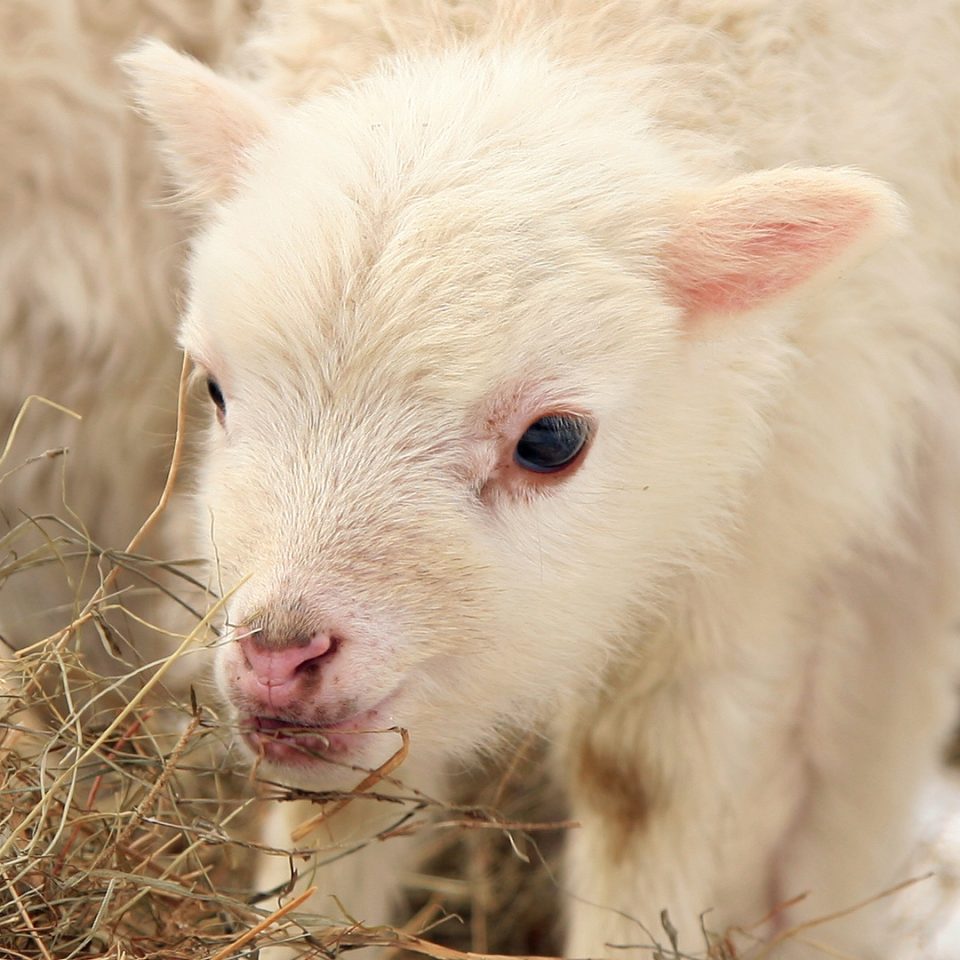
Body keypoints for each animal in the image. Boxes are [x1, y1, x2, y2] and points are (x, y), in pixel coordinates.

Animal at [123, 2, 960, 956]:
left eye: (552, 440)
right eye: (214, 390)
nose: (279, 655)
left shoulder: (756, 529)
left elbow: (640, 783)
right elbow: (330, 815)